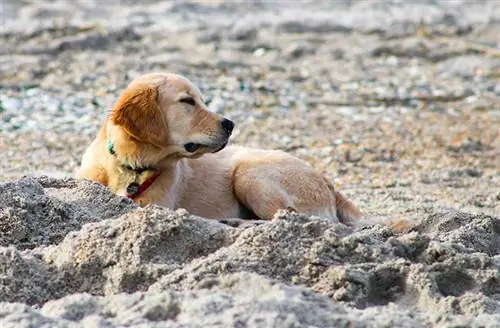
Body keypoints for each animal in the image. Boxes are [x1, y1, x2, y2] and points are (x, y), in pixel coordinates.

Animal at [75, 72, 364, 226]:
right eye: (187, 101)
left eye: (203, 100)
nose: (230, 124)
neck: (129, 165)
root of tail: (329, 183)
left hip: (249, 174)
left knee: (286, 217)